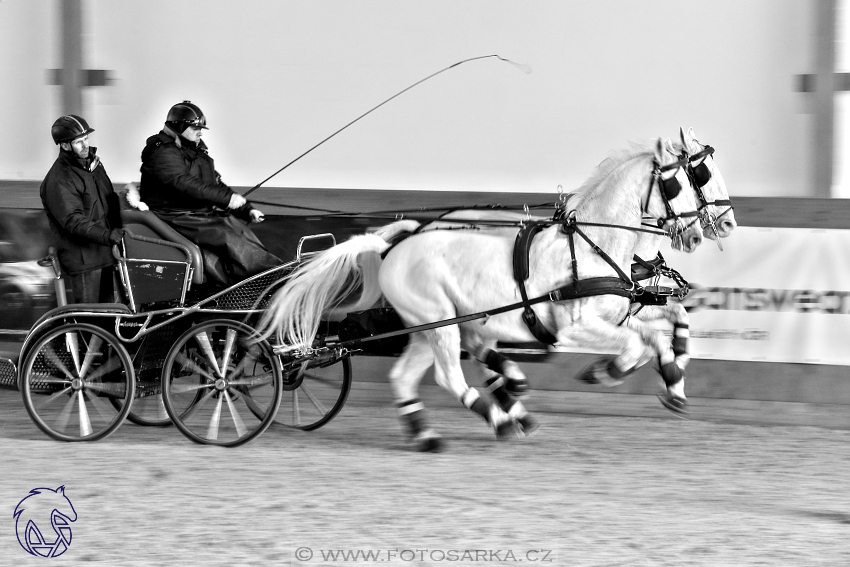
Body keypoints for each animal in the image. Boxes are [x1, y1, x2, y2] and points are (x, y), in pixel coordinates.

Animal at [258, 139, 696, 452]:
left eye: (697, 178)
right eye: (678, 182)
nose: (696, 232)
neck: (591, 245)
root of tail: (394, 246)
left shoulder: (618, 312)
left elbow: (658, 333)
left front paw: (673, 383)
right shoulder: (577, 324)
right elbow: (638, 344)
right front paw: (607, 371)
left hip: (431, 325)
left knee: (408, 376)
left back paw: (430, 433)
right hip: (439, 324)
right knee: (447, 374)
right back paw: (501, 418)